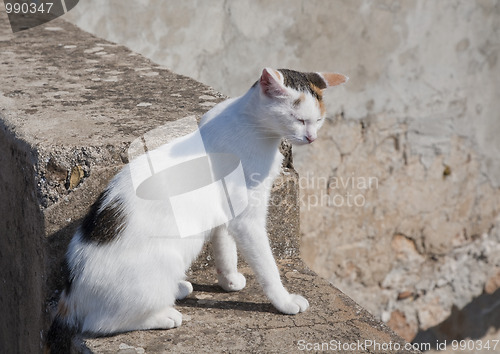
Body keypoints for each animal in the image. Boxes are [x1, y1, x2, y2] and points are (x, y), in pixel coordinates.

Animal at [46, 67, 348, 352]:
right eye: (299, 119)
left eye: (318, 120)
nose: (311, 138)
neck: (250, 123)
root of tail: (70, 296)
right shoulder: (246, 219)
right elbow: (267, 266)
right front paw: (284, 301)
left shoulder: (224, 215)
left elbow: (225, 250)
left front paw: (229, 281)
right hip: (161, 262)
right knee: (100, 323)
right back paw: (164, 316)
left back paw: (178, 288)